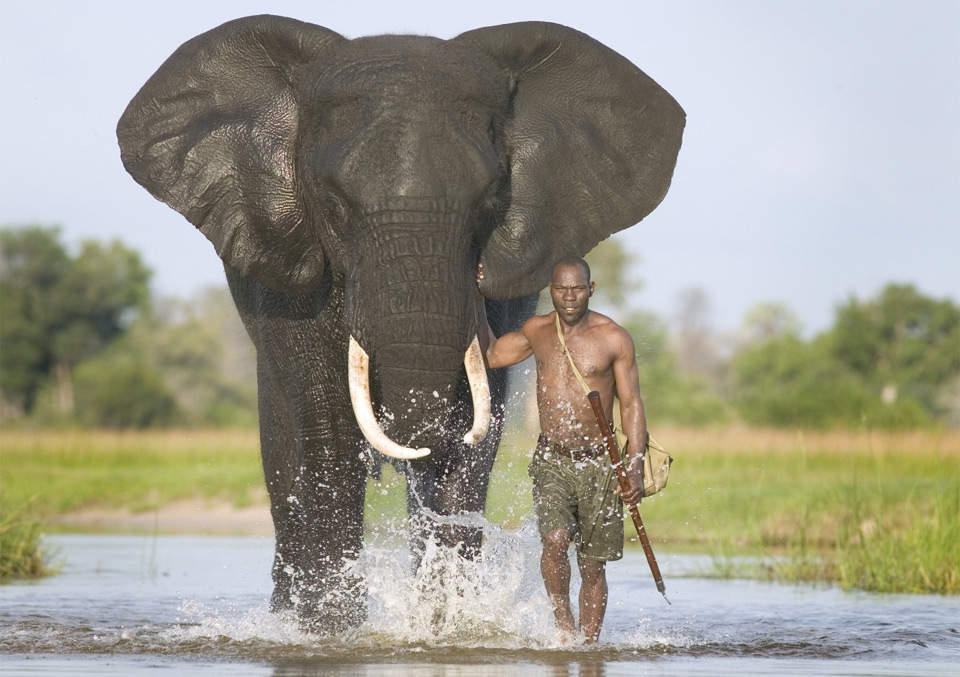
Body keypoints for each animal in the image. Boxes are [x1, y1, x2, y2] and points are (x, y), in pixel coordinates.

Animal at [117, 15, 684, 632]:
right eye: (334, 205)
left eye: (490, 201)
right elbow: (327, 430)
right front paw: (333, 633)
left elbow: (472, 430)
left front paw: (446, 628)